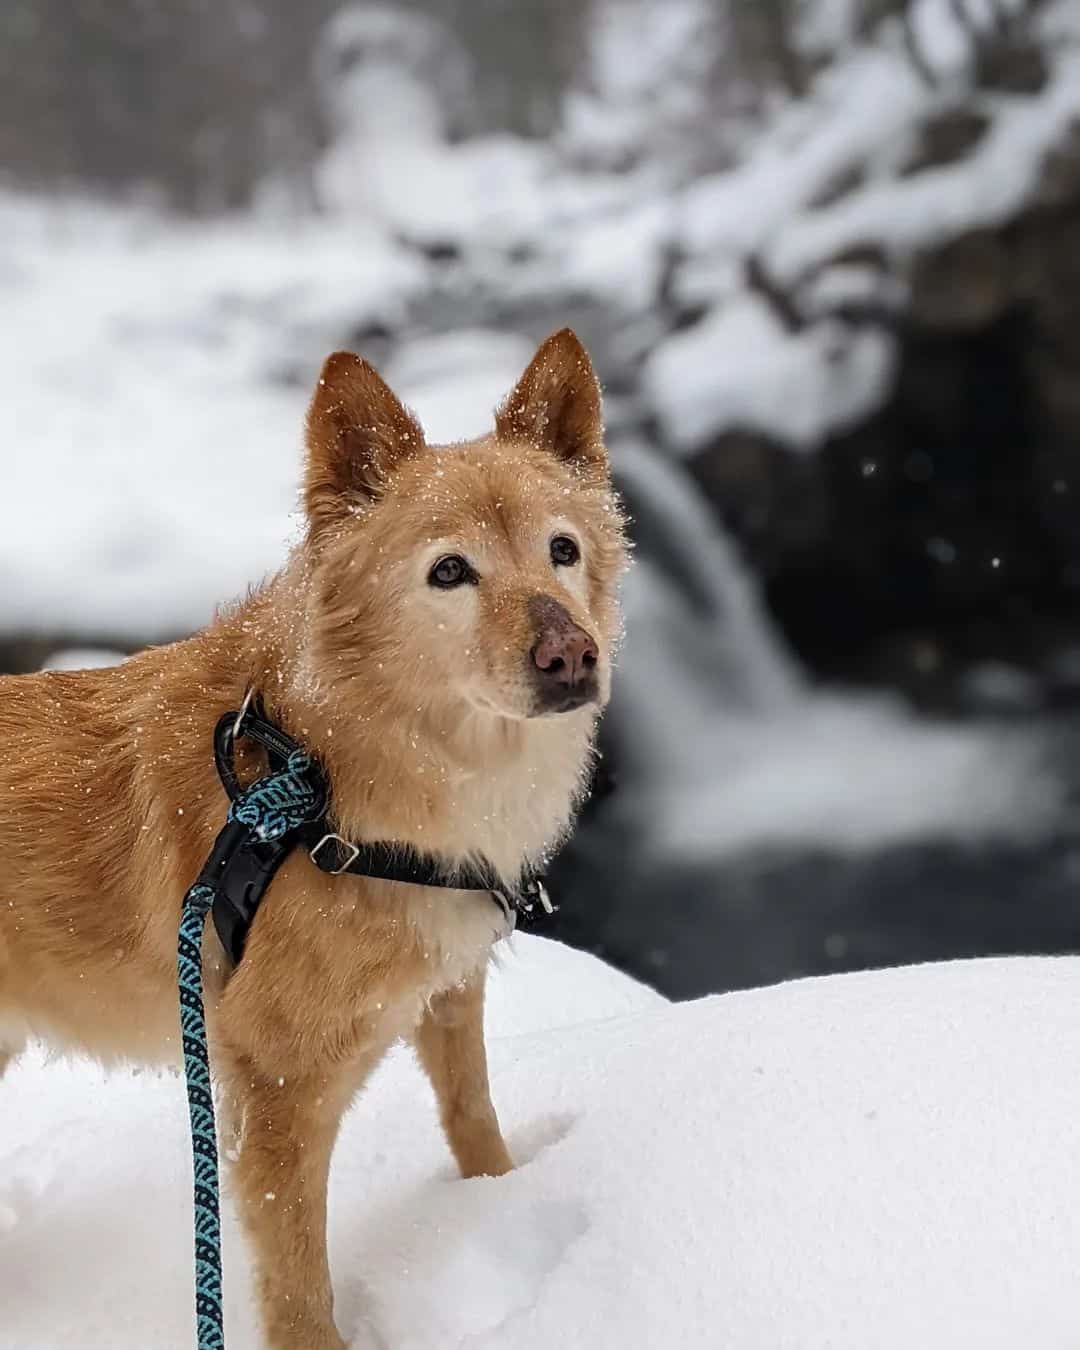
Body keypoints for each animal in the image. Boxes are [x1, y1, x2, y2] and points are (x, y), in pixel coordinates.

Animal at [0, 329, 629, 1350]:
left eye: (562, 550)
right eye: (449, 572)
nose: (571, 655)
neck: (325, 780)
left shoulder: (447, 992)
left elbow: (475, 1121)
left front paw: (498, 1201)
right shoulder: (277, 1087)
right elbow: (298, 1286)